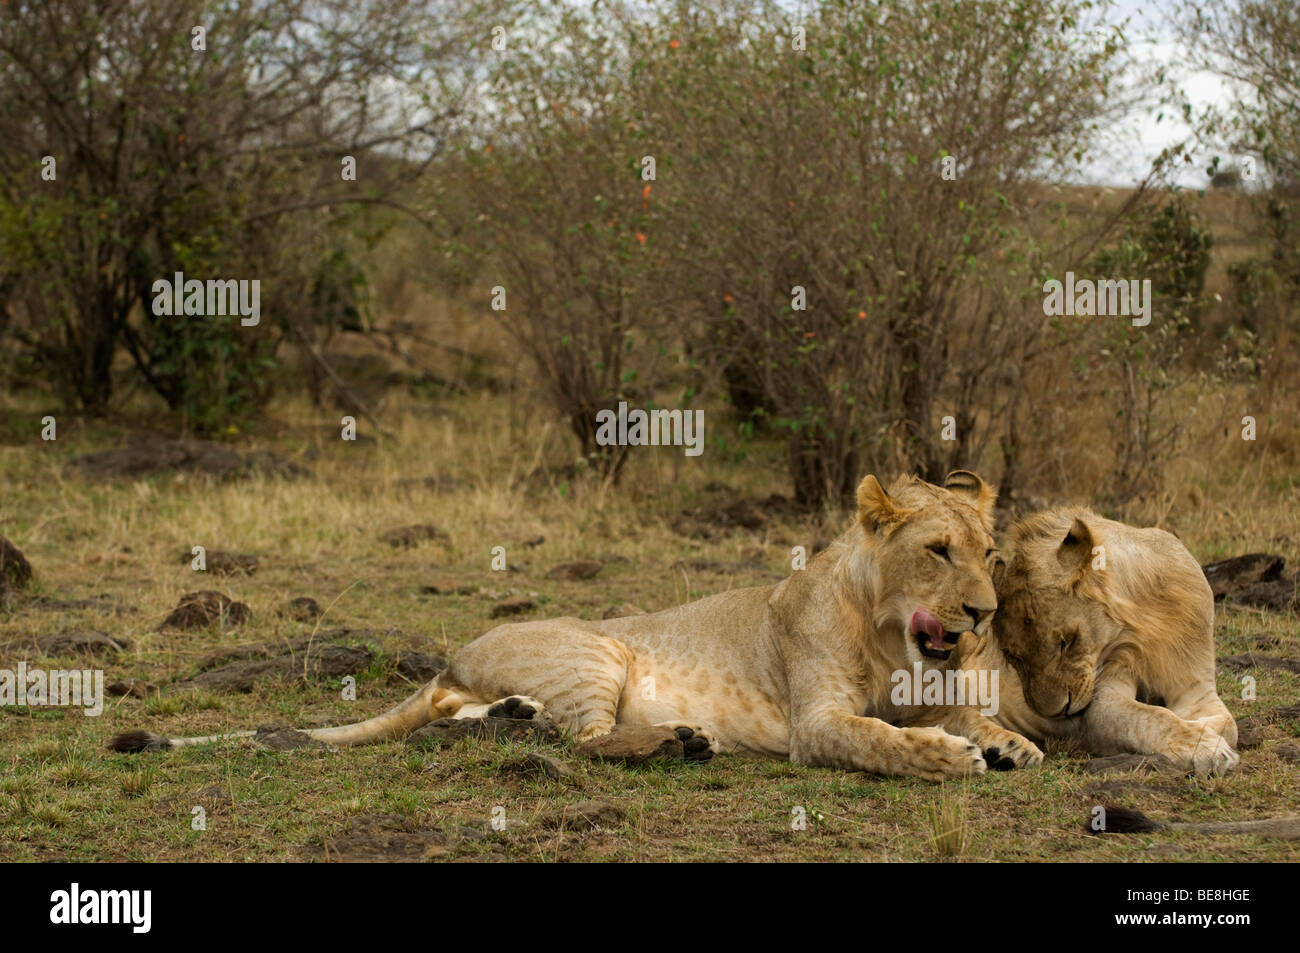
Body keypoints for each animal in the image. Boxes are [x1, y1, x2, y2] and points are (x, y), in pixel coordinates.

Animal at [111, 470, 1043, 781]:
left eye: (990, 552)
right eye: (937, 550)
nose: (984, 613)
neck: (890, 636)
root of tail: (454, 653)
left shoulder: (924, 689)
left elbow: (960, 709)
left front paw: (1009, 741)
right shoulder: (815, 723)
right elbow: (878, 738)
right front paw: (953, 758)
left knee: (478, 720)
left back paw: (510, 715)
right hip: (598, 648)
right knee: (587, 740)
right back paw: (678, 740)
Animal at [952, 507, 1239, 777]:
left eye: (1067, 642)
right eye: (1014, 657)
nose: (1058, 712)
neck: (1146, 621)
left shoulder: (1196, 688)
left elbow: (1228, 725)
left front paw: (1206, 731)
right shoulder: (1100, 701)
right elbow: (1152, 717)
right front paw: (1207, 748)